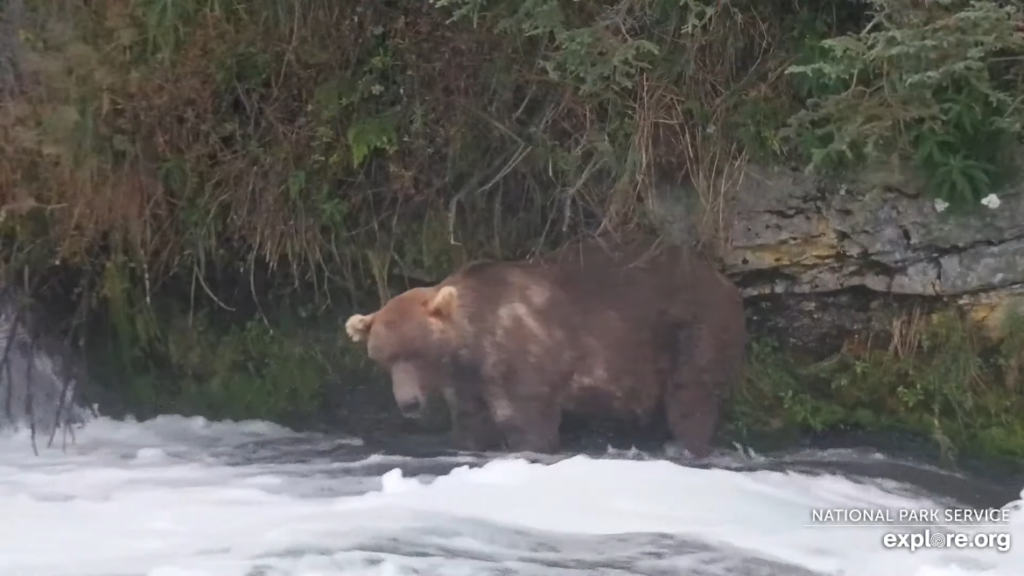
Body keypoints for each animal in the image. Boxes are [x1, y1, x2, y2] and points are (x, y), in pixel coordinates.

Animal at [344, 234, 745, 457]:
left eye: (416, 353)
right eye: (384, 358)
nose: (409, 403)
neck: (473, 343)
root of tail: (723, 279)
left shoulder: (522, 350)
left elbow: (527, 421)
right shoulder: (465, 379)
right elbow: (472, 423)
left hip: (692, 325)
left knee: (691, 395)